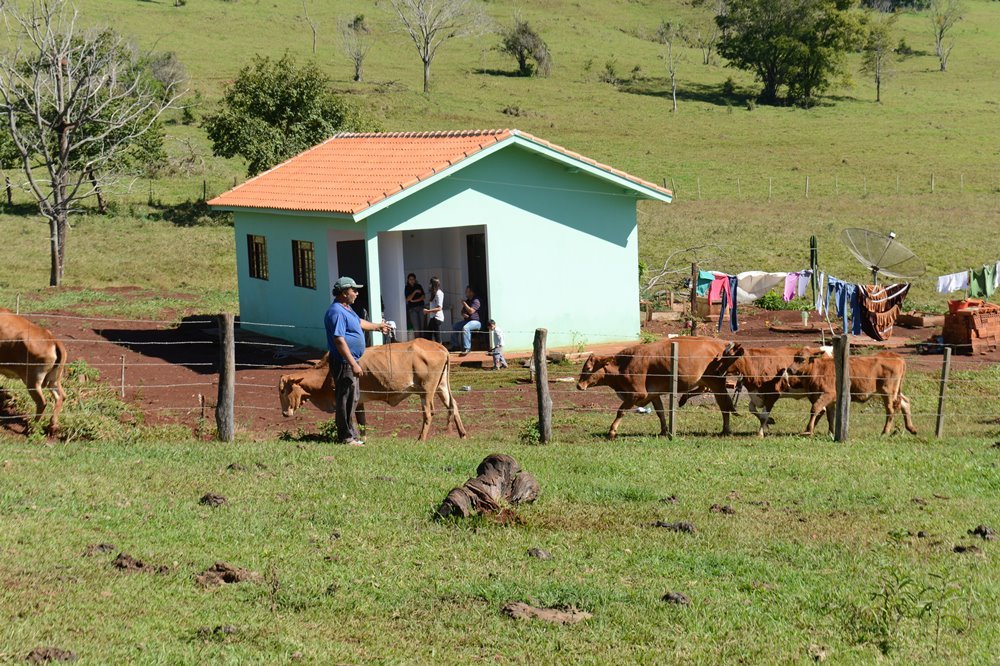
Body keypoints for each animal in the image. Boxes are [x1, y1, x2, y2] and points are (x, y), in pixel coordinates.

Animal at [278, 338, 468, 440]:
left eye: (283, 390)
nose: (285, 413)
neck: (327, 373)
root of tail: (439, 347)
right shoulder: (360, 402)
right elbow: (362, 422)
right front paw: (363, 439)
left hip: (427, 390)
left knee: (429, 413)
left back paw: (420, 439)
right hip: (441, 386)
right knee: (453, 405)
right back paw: (462, 434)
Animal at [580, 338, 736, 436]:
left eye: (588, 368)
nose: (579, 385)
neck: (624, 365)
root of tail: (720, 344)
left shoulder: (637, 394)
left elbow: (621, 411)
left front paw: (612, 431)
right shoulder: (653, 395)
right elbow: (660, 412)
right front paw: (664, 430)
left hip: (716, 384)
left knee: (724, 405)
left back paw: (725, 429)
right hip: (706, 381)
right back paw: (683, 399)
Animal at [784, 348, 916, 436]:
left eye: (802, 359)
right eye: (794, 358)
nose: (789, 369)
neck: (819, 370)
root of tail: (897, 356)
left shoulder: (828, 394)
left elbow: (815, 409)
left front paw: (808, 430)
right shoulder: (830, 400)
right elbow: (829, 415)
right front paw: (830, 432)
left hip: (887, 390)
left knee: (891, 410)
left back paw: (885, 432)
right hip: (895, 391)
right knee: (905, 402)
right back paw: (911, 428)